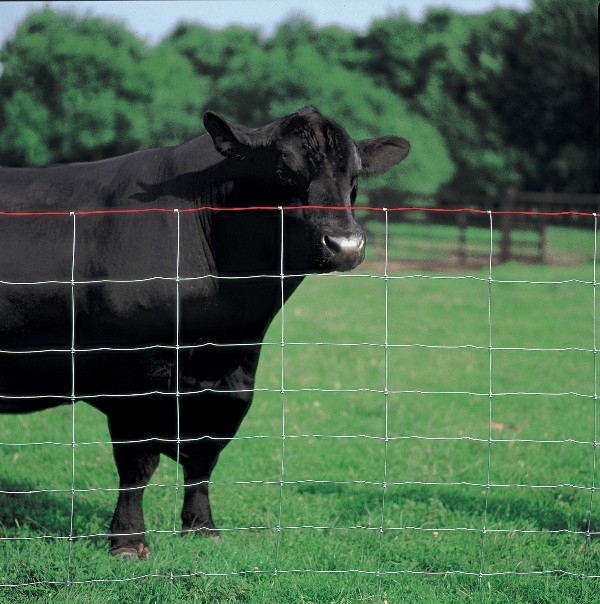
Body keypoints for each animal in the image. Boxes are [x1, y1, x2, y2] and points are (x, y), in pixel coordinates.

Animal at [0, 106, 408, 560]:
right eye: (283, 170)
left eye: (355, 177)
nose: (346, 244)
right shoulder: (135, 377)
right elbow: (138, 463)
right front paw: (128, 540)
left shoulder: (234, 378)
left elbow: (204, 457)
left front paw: (201, 527)